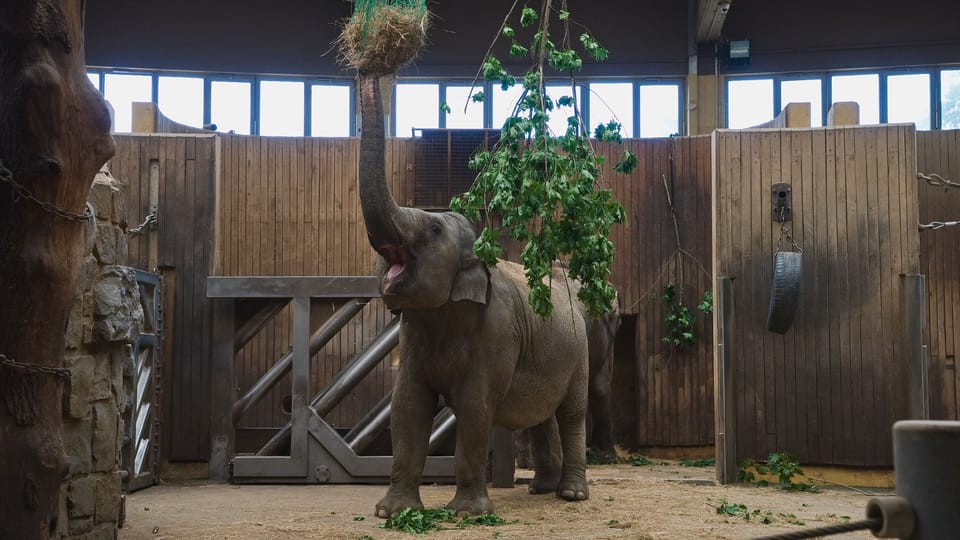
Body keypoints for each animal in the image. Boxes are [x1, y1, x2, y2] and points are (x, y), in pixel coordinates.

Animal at [357, 73, 604, 517]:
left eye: (435, 229)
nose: (368, 72)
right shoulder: (414, 336)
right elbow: (407, 406)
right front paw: (393, 512)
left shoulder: (496, 334)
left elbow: (475, 408)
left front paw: (467, 513)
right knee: (542, 416)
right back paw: (541, 488)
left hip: (580, 352)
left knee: (571, 414)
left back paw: (572, 494)